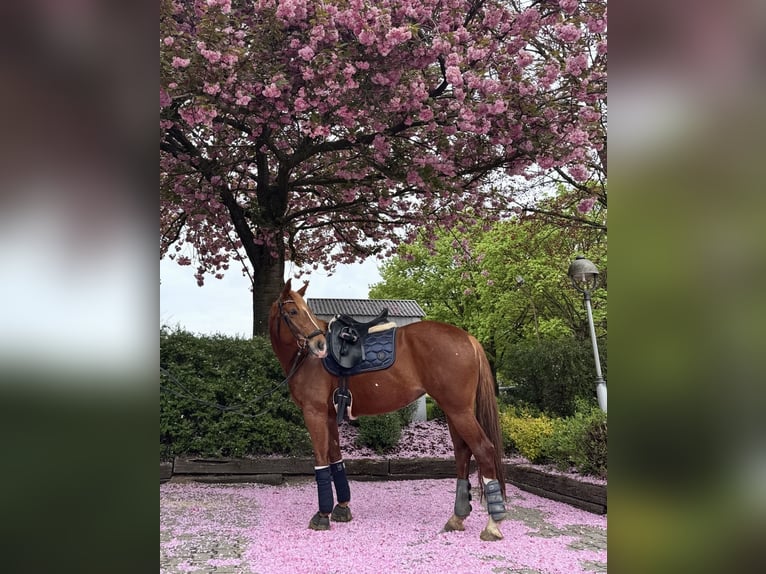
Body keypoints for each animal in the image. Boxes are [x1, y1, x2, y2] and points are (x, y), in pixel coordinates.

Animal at [269, 279, 508, 541]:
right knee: (463, 452)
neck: (307, 361)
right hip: (454, 411)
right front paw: (341, 508)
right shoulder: (329, 416)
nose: (319, 346)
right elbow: (335, 459)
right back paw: (457, 517)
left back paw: (493, 524)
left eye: (306, 312)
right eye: (293, 312)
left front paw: (322, 515)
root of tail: (468, 338)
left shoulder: (315, 414)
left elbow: (321, 460)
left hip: (459, 411)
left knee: (483, 450)